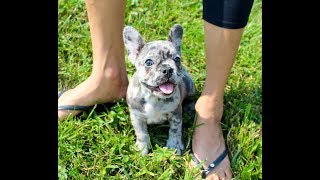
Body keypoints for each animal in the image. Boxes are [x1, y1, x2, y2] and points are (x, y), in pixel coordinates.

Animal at [124, 24, 196, 156]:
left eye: (177, 59)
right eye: (149, 62)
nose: (167, 69)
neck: (153, 96)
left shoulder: (175, 115)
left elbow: (174, 131)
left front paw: (174, 146)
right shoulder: (136, 117)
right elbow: (141, 133)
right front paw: (142, 149)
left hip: (190, 86)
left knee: (190, 99)